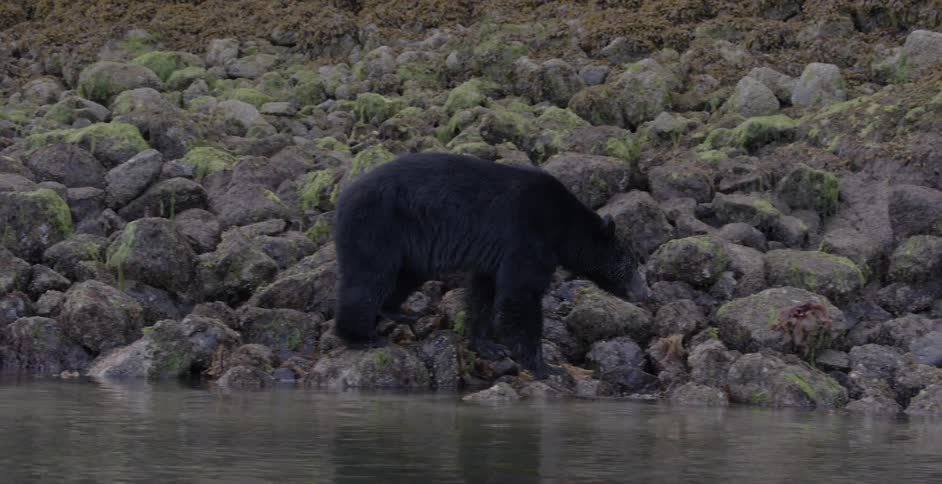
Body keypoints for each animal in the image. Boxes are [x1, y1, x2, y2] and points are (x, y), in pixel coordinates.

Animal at [333, 152, 648, 379]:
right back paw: (360, 336)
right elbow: (521, 294)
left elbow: (484, 291)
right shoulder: (528, 235)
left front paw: (487, 345)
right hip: (378, 225)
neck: (563, 226)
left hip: (406, 245)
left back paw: (397, 312)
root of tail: (344, 196)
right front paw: (547, 368)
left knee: (404, 276)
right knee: (369, 278)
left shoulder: (494, 255)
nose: (645, 293)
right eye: (631, 264)